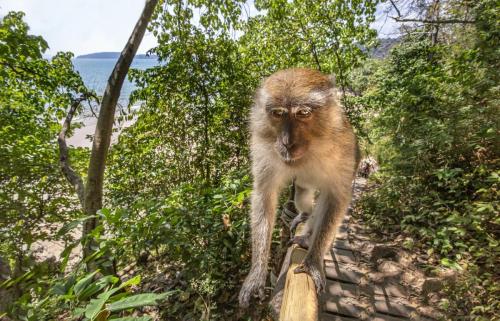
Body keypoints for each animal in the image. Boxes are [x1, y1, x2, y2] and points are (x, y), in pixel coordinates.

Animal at [238, 67, 360, 308]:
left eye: (303, 113)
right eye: (278, 113)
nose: (287, 142)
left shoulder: (343, 146)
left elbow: (336, 198)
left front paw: (313, 261)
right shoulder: (263, 144)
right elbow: (264, 195)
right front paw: (257, 274)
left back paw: (307, 237)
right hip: (303, 184)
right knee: (302, 193)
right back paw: (304, 214)